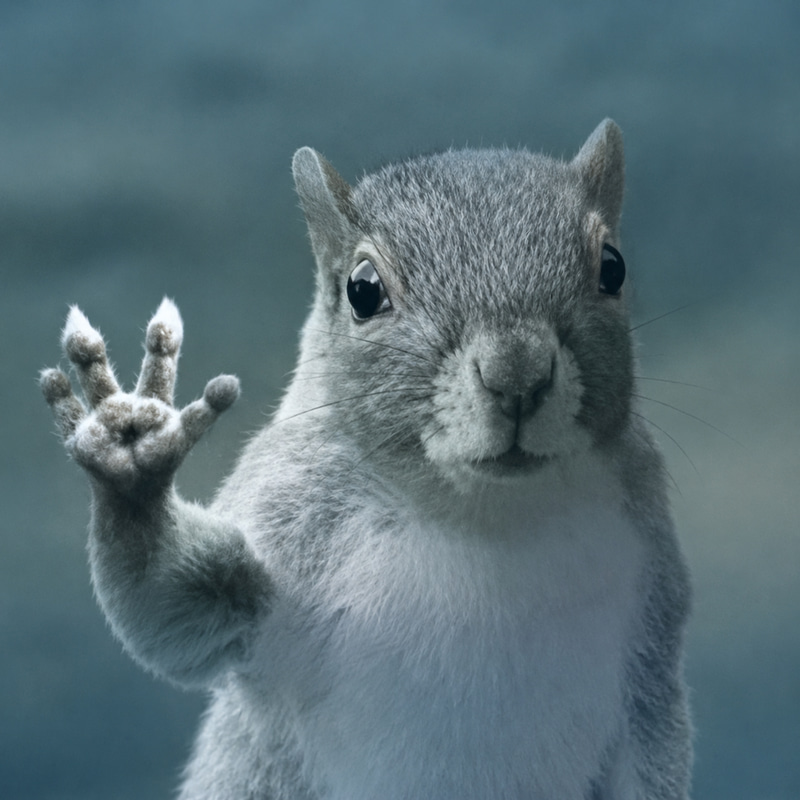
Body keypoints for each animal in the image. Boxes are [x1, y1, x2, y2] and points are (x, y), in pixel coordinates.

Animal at [41, 119, 693, 800]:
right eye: (363, 290)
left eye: (612, 268)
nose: (517, 375)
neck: (486, 517)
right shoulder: (279, 525)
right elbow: (173, 606)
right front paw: (130, 460)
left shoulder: (653, 618)